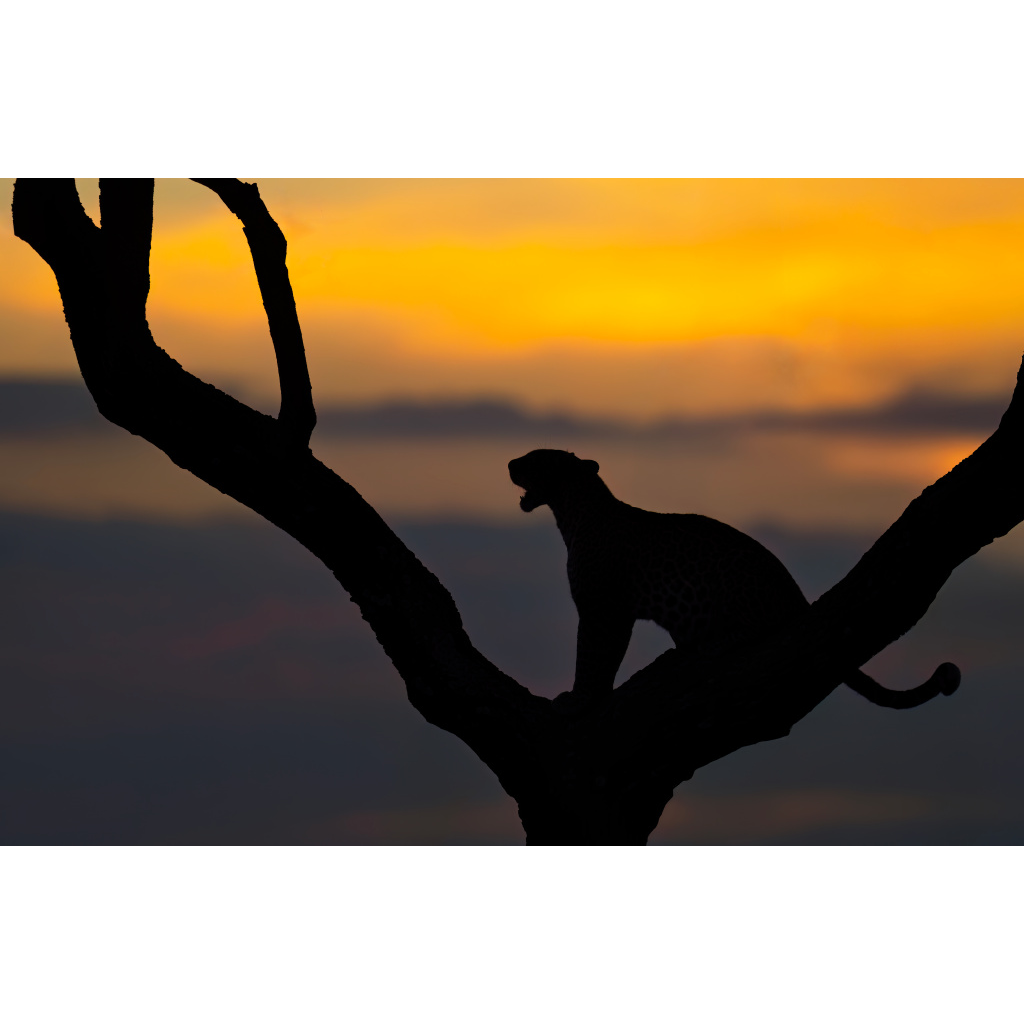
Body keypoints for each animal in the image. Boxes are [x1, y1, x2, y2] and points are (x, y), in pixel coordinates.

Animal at [508, 448, 959, 707]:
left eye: (536, 459)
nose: (510, 464)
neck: (571, 512)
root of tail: (794, 592)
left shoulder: (604, 609)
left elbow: (592, 656)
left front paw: (580, 697)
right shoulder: (608, 611)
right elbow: (600, 657)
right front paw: (588, 696)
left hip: (733, 572)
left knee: (756, 629)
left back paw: (713, 642)